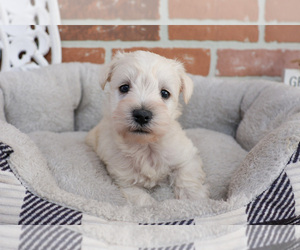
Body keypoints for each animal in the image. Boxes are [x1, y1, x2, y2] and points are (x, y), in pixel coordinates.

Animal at [86, 50, 207, 205]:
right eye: (124, 87)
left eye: (165, 93)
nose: (142, 115)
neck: (145, 145)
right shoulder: (125, 179)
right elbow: (141, 199)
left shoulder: (185, 156)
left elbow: (187, 176)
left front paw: (194, 200)